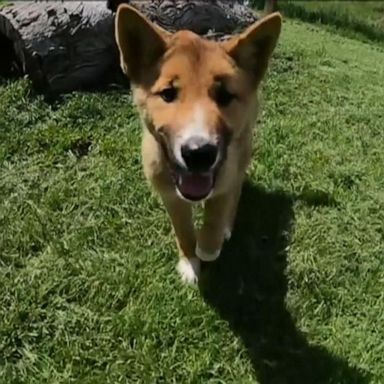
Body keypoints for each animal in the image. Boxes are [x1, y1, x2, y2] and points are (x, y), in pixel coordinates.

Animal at [115, 4, 282, 284]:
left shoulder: (225, 173)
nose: (199, 154)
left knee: (236, 189)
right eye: (168, 93)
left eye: (225, 94)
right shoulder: (170, 195)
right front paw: (189, 262)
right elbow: (182, 230)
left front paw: (208, 247)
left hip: (244, 147)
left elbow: (216, 211)